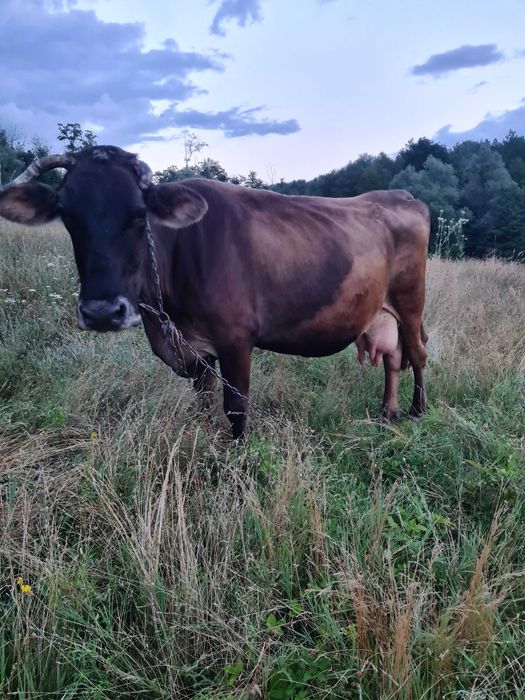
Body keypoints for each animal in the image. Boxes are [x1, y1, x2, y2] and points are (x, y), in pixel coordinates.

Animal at [0, 146, 430, 439]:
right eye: (68, 217)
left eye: (139, 215)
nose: (103, 312)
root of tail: (401, 195)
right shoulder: (194, 350)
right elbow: (204, 403)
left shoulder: (236, 339)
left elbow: (236, 407)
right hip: (382, 312)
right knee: (394, 359)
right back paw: (388, 411)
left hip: (411, 303)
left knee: (418, 354)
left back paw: (417, 411)